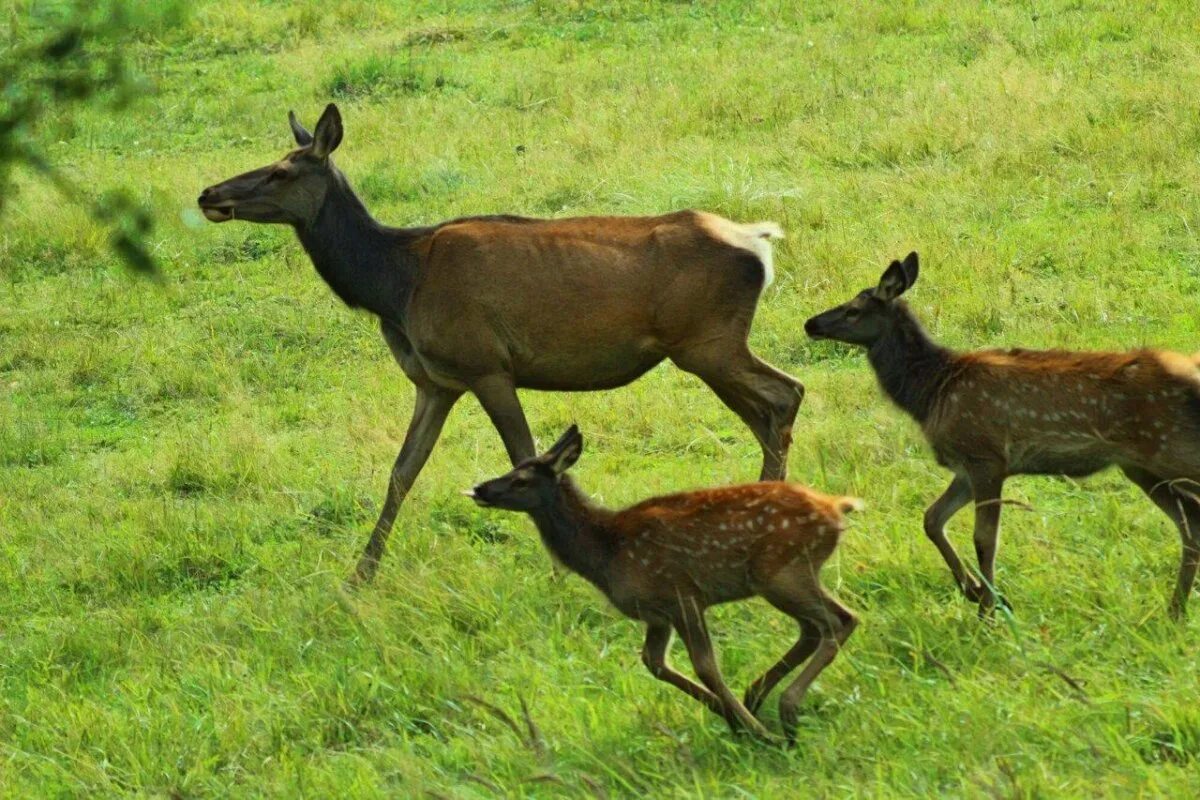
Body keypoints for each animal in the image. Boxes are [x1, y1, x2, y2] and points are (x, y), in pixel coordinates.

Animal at [199, 104, 806, 582]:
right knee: (766, 413)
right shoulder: (436, 383)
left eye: (280, 171)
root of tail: (760, 243)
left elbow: (525, 455)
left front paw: (561, 570)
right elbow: (401, 473)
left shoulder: (486, 365)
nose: (208, 193)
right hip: (709, 348)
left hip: (707, 342)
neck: (396, 286)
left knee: (786, 394)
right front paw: (359, 577)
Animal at [468, 422, 864, 743]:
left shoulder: (680, 592)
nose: (479, 488)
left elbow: (705, 665)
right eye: (512, 468)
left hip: (782, 572)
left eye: (521, 480)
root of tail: (836, 509)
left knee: (839, 620)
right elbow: (653, 662)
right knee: (815, 627)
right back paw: (757, 696)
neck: (606, 553)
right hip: (789, 576)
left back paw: (786, 708)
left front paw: (755, 731)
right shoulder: (656, 614)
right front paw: (729, 716)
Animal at [801, 251, 1200, 618]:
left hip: (1172, 449)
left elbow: (984, 539)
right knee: (1191, 525)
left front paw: (989, 609)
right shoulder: (965, 467)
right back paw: (1175, 610)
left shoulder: (986, 456)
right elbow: (932, 519)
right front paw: (972, 590)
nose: (810, 323)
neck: (931, 393)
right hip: (1142, 467)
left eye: (853, 310)